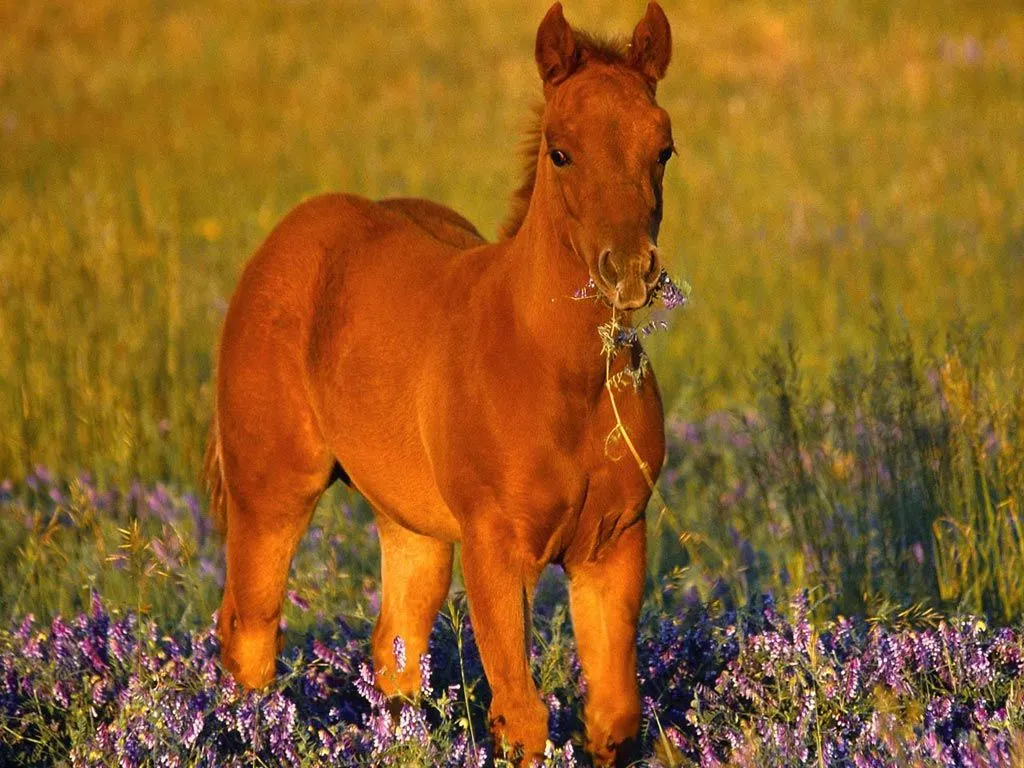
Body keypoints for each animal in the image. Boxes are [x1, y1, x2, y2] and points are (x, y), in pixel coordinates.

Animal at [204, 3, 673, 764]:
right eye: (560, 152)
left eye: (663, 149)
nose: (628, 270)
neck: (561, 378)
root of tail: (285, 237)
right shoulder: (495, 549)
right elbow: (522, 716)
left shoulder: (613, 543)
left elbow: (613, 718)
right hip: (271, 489)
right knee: (249, 633)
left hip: (411, 524)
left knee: (394, 655)